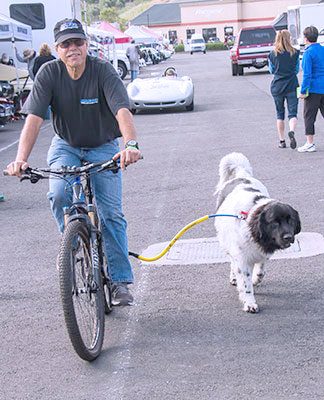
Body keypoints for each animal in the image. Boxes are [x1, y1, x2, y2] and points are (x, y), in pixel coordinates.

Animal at [214, 153, 300, 312]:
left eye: (290, 220)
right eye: (274, 222)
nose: (288, 237)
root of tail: (242, 175)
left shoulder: (262, 254)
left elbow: (260, 271)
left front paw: (256, 280)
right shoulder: (242, 258)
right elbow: (245, 283)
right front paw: (249, 303)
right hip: (225, 240)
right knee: (231, 261)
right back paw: (234, 277)